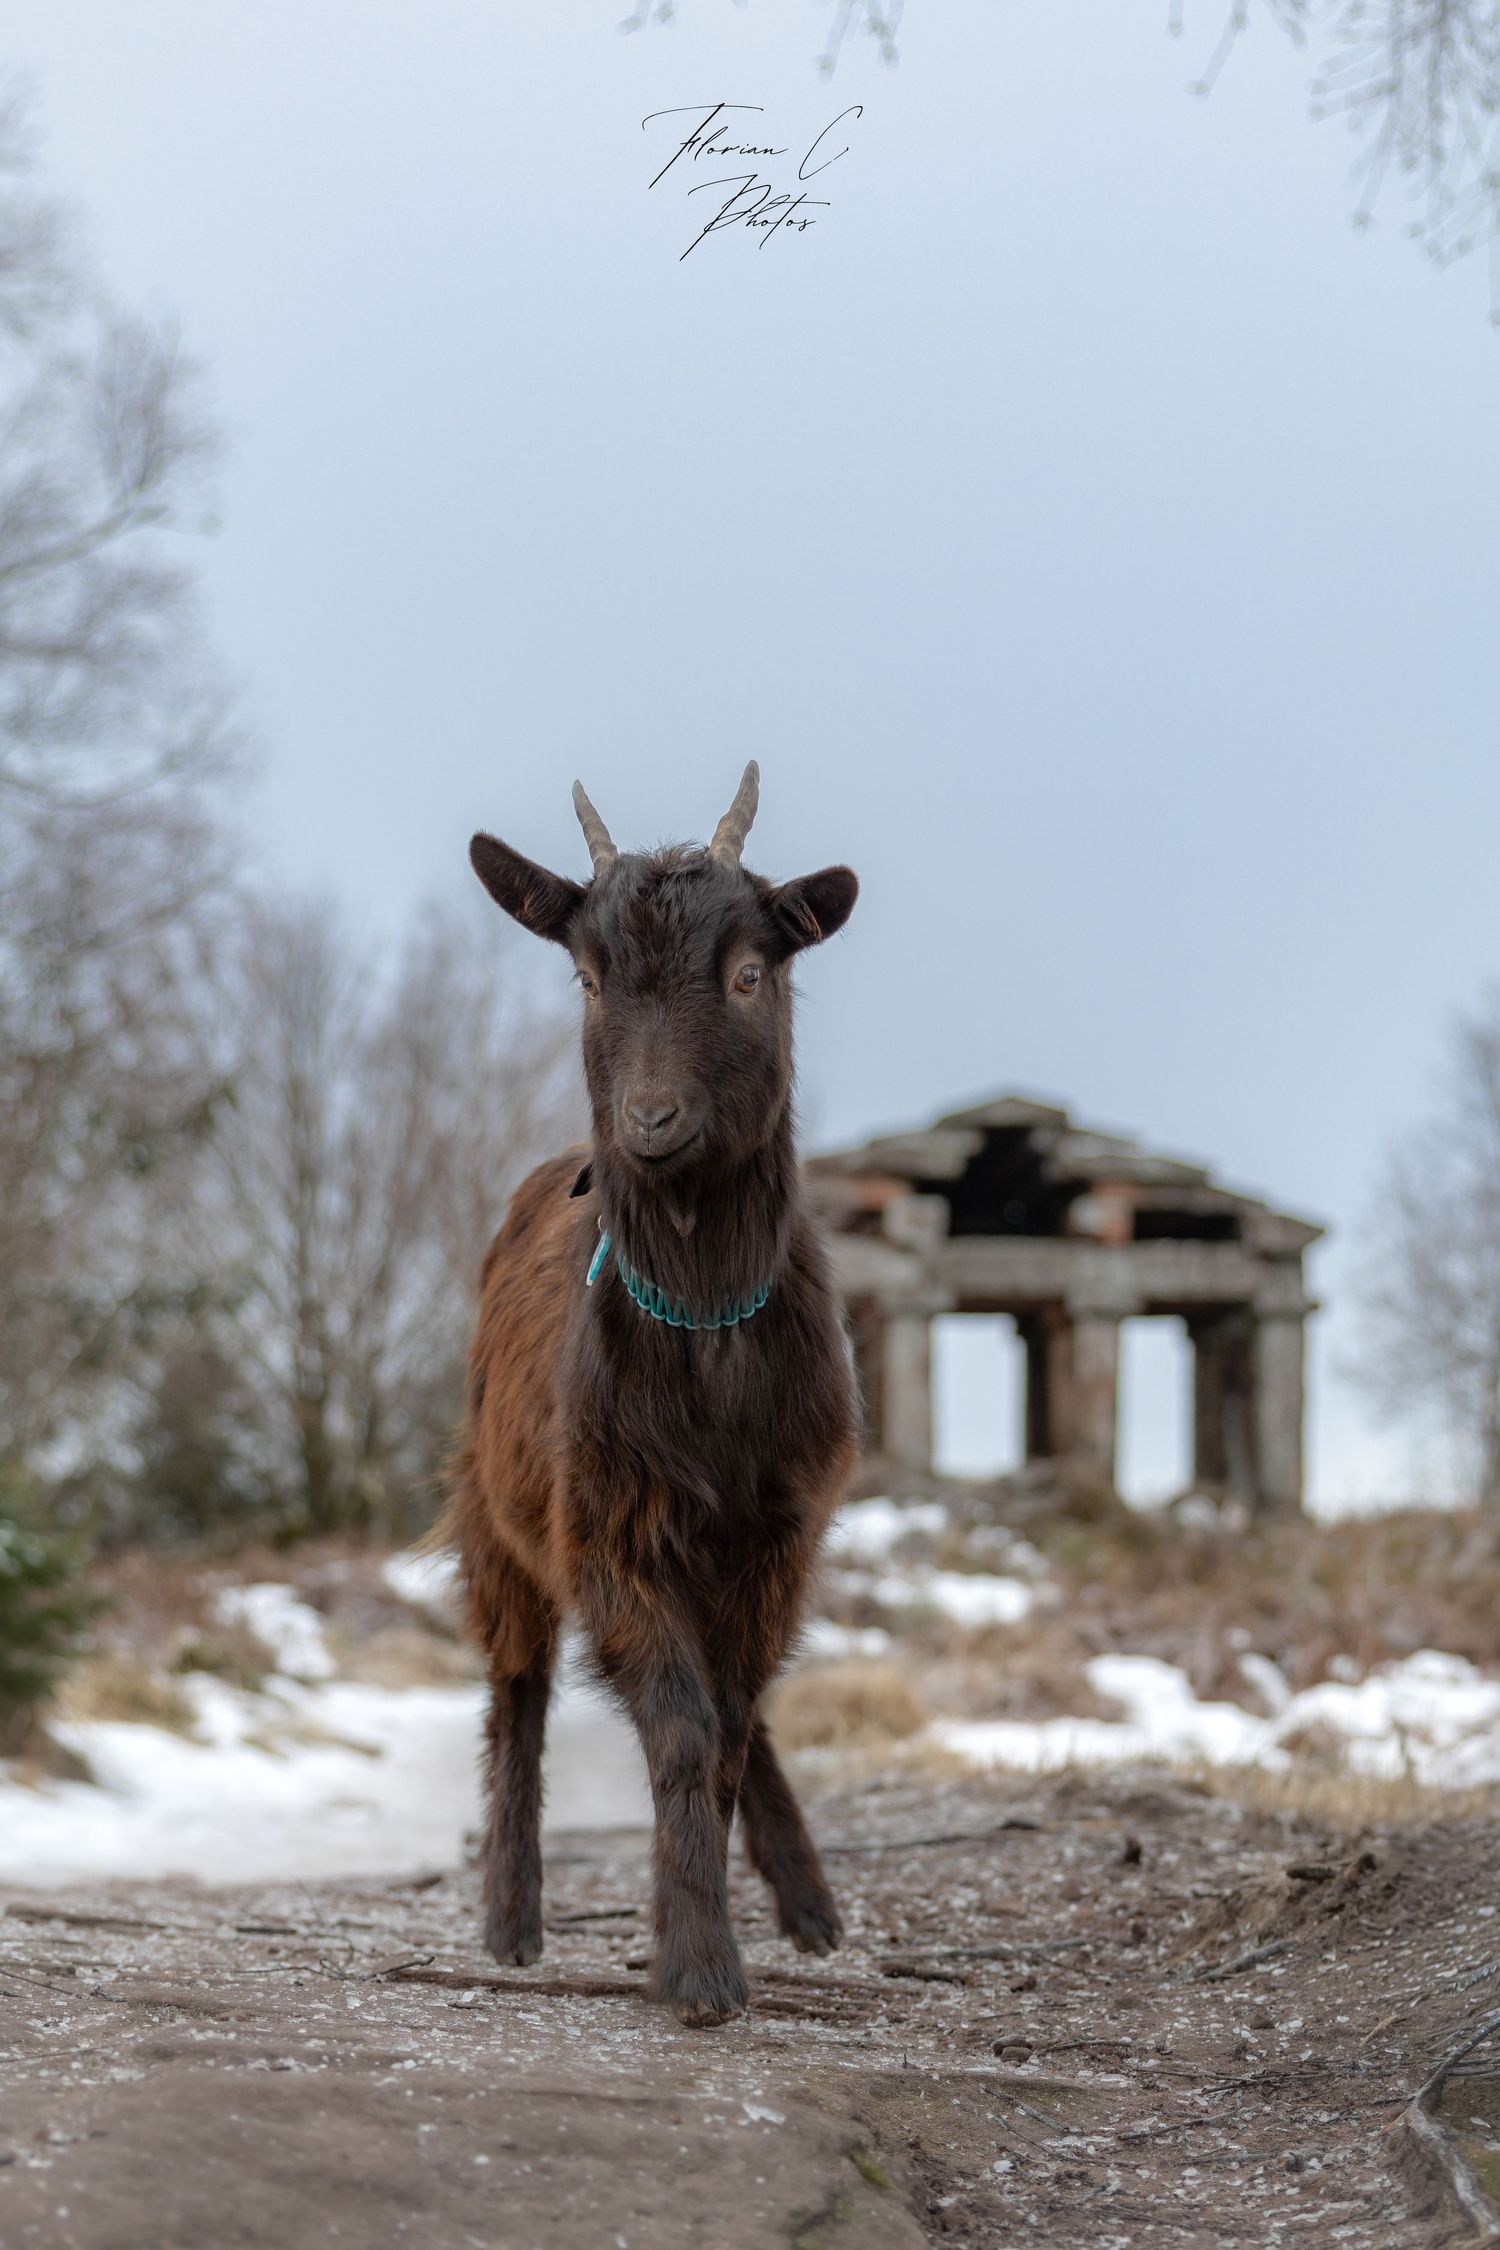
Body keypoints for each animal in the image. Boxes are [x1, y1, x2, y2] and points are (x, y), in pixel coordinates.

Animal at [445, 763, 860, 2026]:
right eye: (586, 977)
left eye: (748, 973)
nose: (652, 1124)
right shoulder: (608, 1530)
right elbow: (680, 1729)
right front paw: (698, 1970)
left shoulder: (779, 1531)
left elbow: (726, 1730)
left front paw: (710, 1928)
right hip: (494, 1516)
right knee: (516, 1690)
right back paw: (511, 1920)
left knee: (749, 1708)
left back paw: (808, 1903)